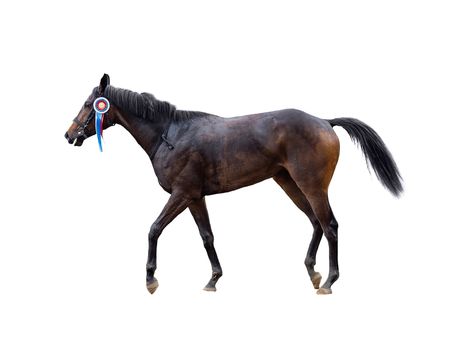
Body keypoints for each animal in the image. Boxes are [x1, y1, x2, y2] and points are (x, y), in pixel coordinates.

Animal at [65, 74, 402, 296]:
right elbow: (207, 237)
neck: (170, 134)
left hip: (312, 185)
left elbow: (154, 229)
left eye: (89, 104)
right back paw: (313, 271)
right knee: (315, 223)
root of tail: (325, 122)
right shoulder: (195, 197)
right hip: (289, 183)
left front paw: (151, 280)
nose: (69, 135)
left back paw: (329, 281)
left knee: (329, 225)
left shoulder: (182, 194)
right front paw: (213, 279)